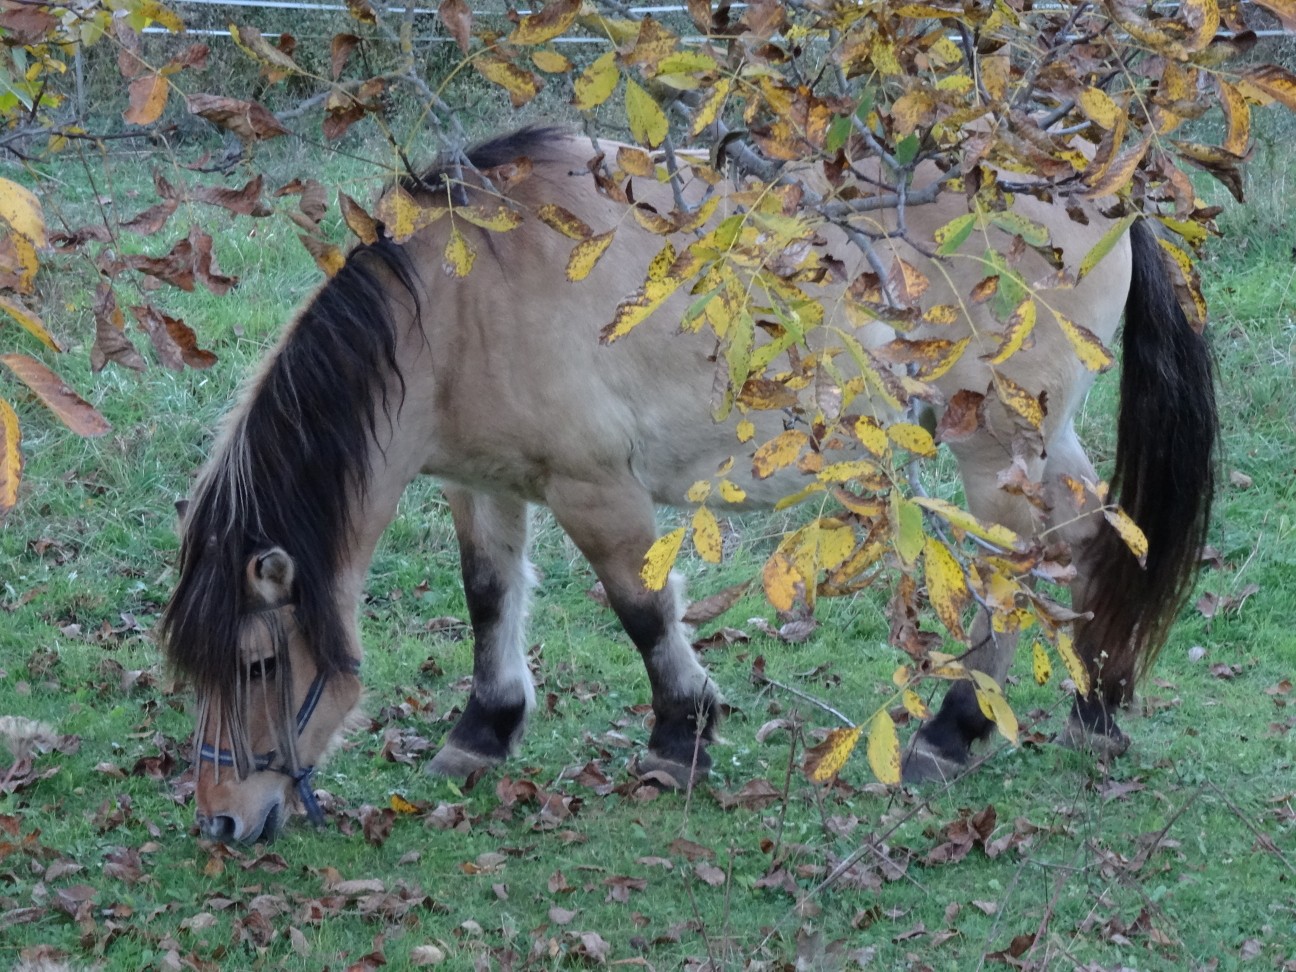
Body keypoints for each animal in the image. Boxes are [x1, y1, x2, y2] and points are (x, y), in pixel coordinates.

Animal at [161, 126, 1216, 843]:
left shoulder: (595, 490)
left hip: (999, 450)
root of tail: (1101, 184)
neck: (460, 303)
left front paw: (680, 741)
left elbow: (642, 611)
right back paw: (1094, 706)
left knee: (1024, 563)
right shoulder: (485, 486)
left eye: (258, 666)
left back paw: (953, 735)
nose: (219, 820)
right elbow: (489, 599)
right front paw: (482, 734)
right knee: (1094, 542)